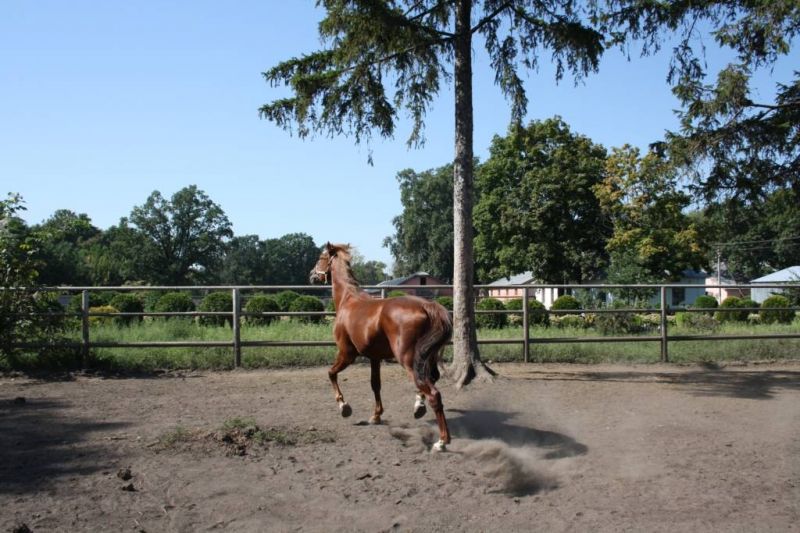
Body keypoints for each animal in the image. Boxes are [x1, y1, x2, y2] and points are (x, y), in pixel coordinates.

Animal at [310, 244, 454, 448]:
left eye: (321, 257)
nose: (312, 275)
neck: (348, 300)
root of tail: (427, 307)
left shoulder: (346, 353)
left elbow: (331, 373)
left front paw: (344, 407)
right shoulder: (374, 358)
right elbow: (375, 384)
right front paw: (376, 416)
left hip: (408, 360)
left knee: (434, 393)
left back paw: (442, 441)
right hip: (427, 358)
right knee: (432, 379)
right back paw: (419, 407)